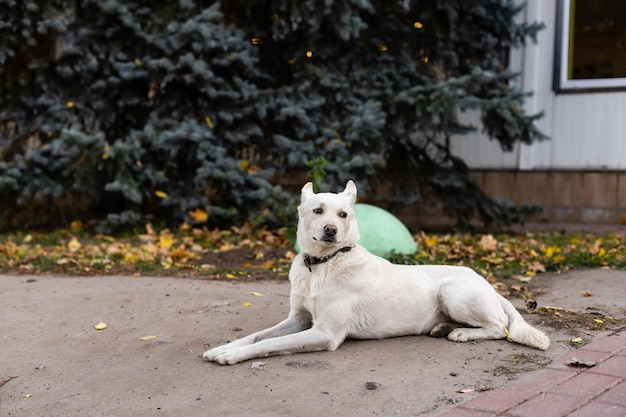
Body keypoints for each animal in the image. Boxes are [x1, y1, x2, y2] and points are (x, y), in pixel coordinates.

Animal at [204, 180, 544, 362]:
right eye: (317, 210)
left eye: (343, 215)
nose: (331, 230)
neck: (321, 265)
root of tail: (488, 284)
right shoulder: (298, 319)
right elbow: (256, 336)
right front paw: (224, 347)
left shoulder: (324, 333)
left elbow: (268, 344)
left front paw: (231, 356)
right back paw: (443, 327)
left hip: (452, 292)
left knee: (499, 327)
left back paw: (461, 333)